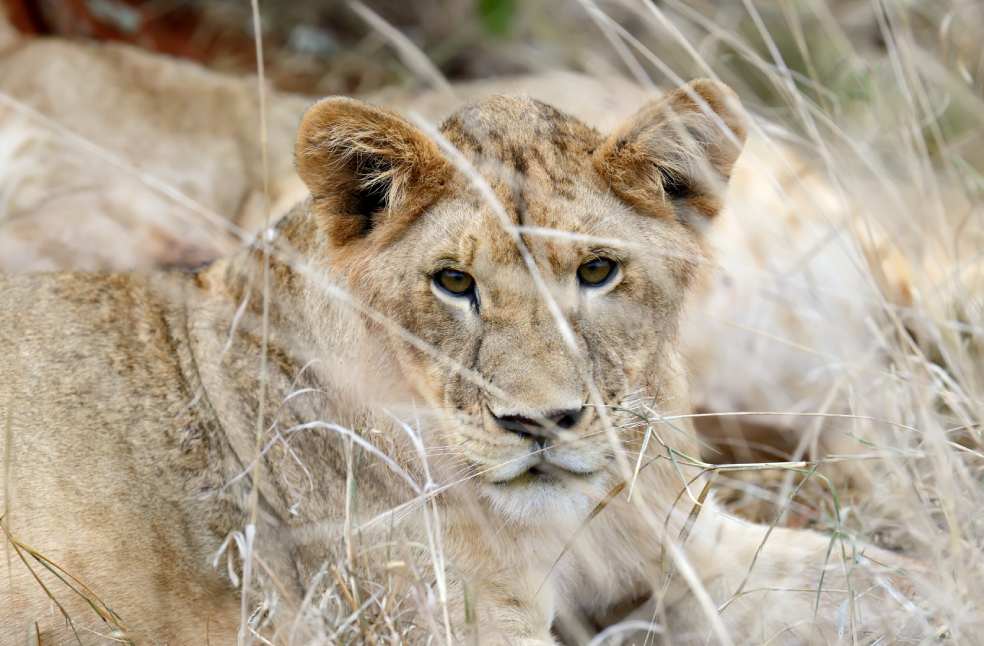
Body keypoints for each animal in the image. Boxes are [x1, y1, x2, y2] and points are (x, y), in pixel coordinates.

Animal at [1, 80, 924, 644]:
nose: (540, 423)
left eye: (597, 271)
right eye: (454, 282)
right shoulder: (441, 621)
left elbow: (874, 577)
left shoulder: (693, 546)